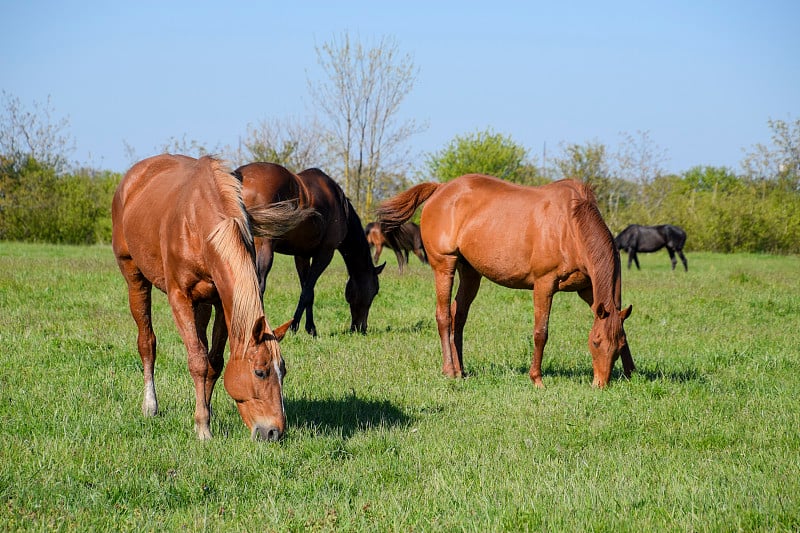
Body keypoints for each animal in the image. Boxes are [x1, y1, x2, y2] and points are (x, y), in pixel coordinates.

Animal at [112, 154, 312, 440]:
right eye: (260, 372)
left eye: (283, 372)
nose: (274, 432)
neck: (199, 223)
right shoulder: (180, 298)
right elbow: (197, 361)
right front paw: (203, 429)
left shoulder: (220, 303)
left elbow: (214, 362)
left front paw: (205, 413)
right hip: (134, 276)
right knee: (147, 342)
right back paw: (150, 406)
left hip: (202, 303)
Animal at [234, 162, 384, 336]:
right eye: (374, 291)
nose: (360, 328)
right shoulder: (325, 254)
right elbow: (307, 292)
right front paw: (294, 327)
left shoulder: (302, 256)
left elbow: (308, 291)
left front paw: (310, 328)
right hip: (264, 248)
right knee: (258, 285)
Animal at [378, 175, 636, 386]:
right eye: (596, 342)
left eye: (618, 345)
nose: (600, 384)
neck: (570, 225)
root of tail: (440, 188)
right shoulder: (544, 285)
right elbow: (541, 332)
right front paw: (536, 378)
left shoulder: (588, 290)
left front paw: (631, 373)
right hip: (444, 265)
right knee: (443, 317)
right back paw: (450, 371)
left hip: (470, 273)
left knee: (457, 317)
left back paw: (461, 370)